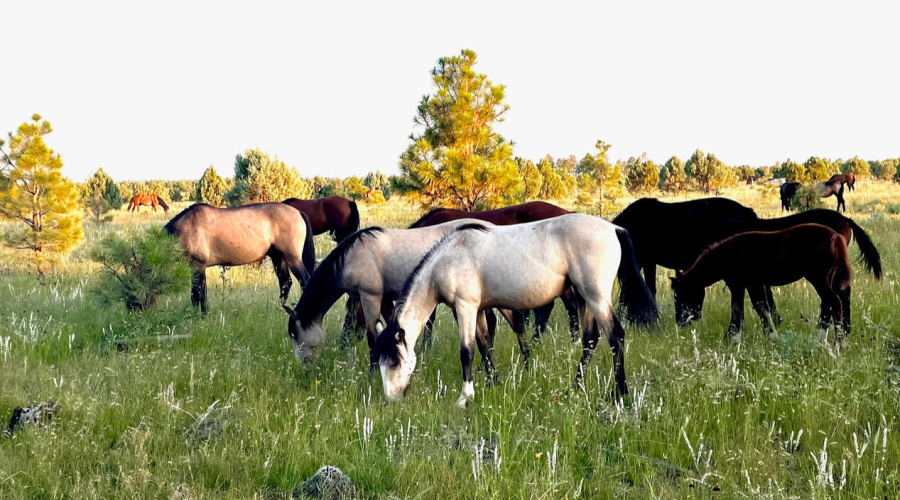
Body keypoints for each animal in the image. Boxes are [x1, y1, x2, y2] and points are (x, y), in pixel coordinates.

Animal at [165, 203, 316, 313]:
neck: (186, 229)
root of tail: (298, 212)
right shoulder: (194, 268)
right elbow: (195, 295)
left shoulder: (198, 265)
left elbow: (199, 294)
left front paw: (202, 316)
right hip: (279, 258)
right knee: (285, 283)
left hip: (293, 258)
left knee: (304, 281)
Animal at [283, 219, 509, 370]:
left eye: (294, 334)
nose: (304, 367)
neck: (352, 256)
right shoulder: (384, 299)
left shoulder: (370, 297)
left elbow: (372, 337)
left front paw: (373, 374)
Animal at [374, 214, 659, 407]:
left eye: (395, 362)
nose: (391, 399)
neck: (448, 258)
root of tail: (613, 228)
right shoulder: (479, 310)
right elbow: (484, 345)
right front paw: (494, 383)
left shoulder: (466, 307)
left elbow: (467, 352)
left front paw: (465, 398)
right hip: (585, 299)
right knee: (590, 340)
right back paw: (574, 389)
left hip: (596, 297)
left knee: (616, 337)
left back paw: (619, 393)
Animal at [670, 224, 852, 342]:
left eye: (679, 295)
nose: (680, 322)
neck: (729, 254)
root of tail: (836, 237)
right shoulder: (753, 284)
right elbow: (761, 308)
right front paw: (770, 335)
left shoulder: (740, 284)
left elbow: (741, 310)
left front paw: (733, 338)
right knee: (827, 305)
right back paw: (820, 339)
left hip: (818, 278)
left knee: (834, 303)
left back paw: (837, 345)